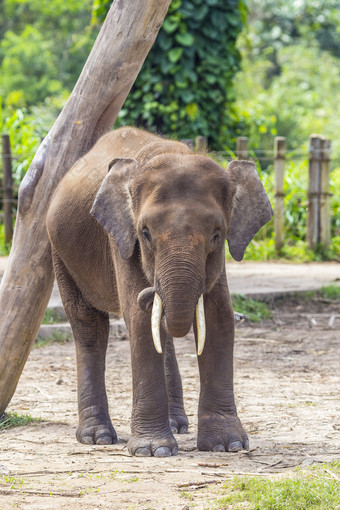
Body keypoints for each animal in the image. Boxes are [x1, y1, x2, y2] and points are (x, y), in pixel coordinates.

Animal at [45, 127, 274, 458]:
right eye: (146, 234)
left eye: (217, 235)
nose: (152, 290)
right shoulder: (122, 239)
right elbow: (139, 320)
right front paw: (154, 451)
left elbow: (219, 317)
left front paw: (226, 445)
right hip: (59, 250)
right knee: (88, 327)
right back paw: (96, 437)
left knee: (161, 333)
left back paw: (177, 425)